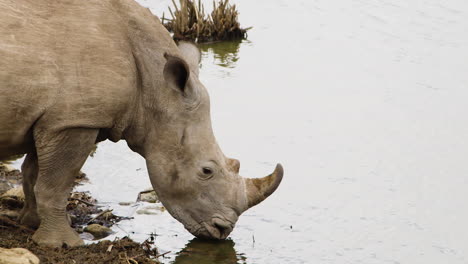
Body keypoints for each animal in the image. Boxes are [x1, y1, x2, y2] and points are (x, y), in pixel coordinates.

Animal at [0, 0, 282, 248]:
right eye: (206, 171)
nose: (223, 230)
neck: (154, 88)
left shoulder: (56, 119)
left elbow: (33, 173)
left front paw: (32, 223)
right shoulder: (77, 120)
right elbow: (55, 185)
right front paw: (64, 244)